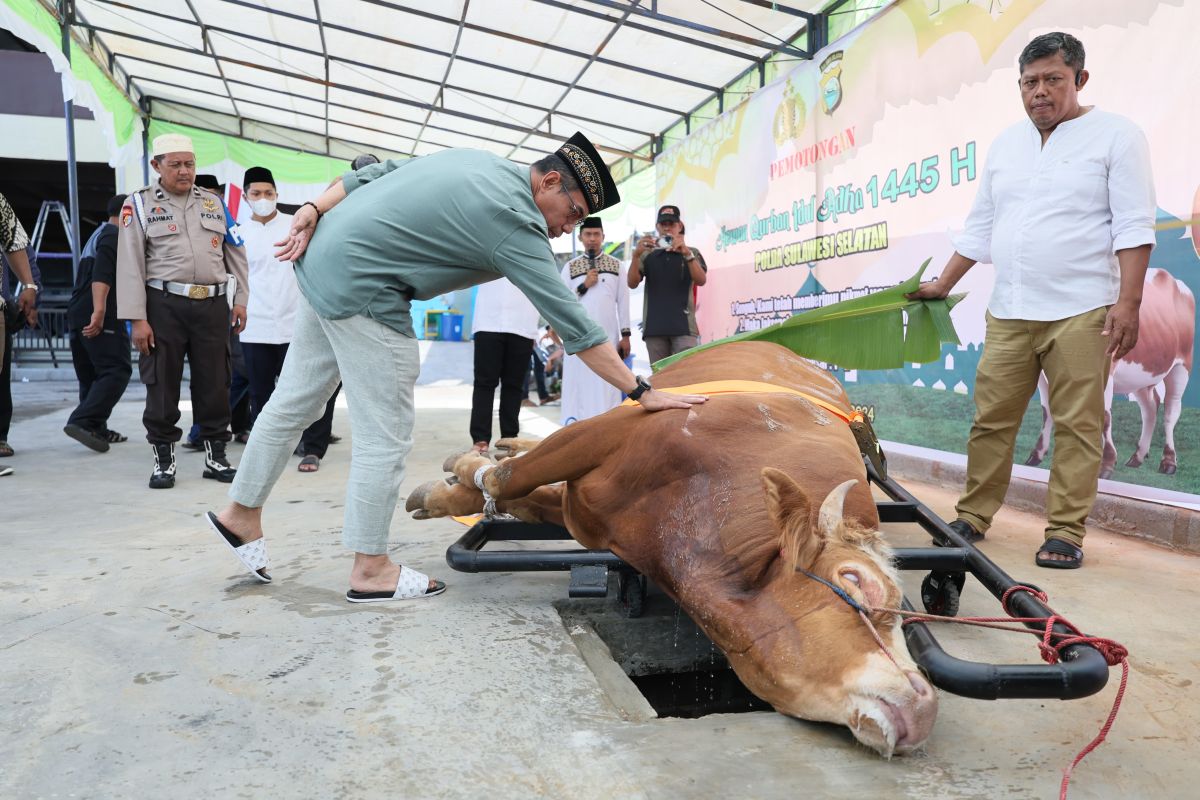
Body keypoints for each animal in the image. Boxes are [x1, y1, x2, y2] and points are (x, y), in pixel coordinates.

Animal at [405, 343, 936, 758]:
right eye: (854, 579)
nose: (926, 706)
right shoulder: (608, 431)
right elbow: (507, 479)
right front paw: (457, 476)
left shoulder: (585, 513)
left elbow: (517, 492)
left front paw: (453, 487)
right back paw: (504, 443)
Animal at [1027, 272, 1195, 479]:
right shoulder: (1043, 376)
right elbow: (1047, 411)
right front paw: (1036, 454)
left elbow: (1105, 416)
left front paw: (1106, 464)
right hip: (1141, 376)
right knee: (1150, 407)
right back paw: (1137, 457)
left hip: (1181, 365)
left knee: (1171, 410)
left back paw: (1169, 462)